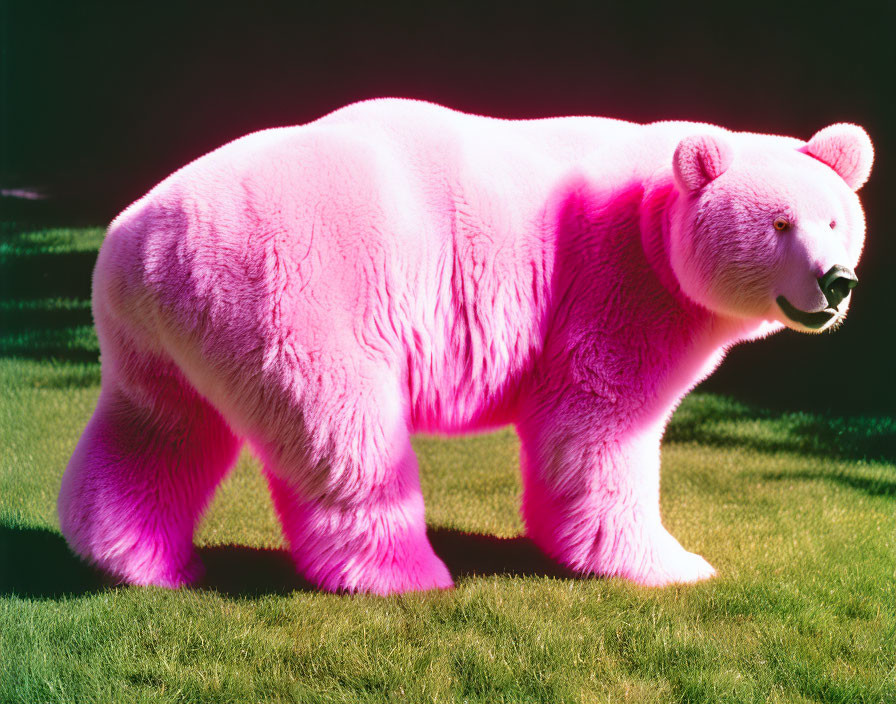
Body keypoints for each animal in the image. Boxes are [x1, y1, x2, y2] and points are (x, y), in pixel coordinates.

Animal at [59, 99, 872, 592]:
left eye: (836, 219)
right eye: (779, 225)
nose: (836, 282)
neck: (655, 216)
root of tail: (140, 236)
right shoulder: (614, 287)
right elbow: (599, 423)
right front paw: (670, 564)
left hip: (160, 328)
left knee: (159, 426)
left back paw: (138, 560)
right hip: (289, 289)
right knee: (343, 432)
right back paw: (407, 573)